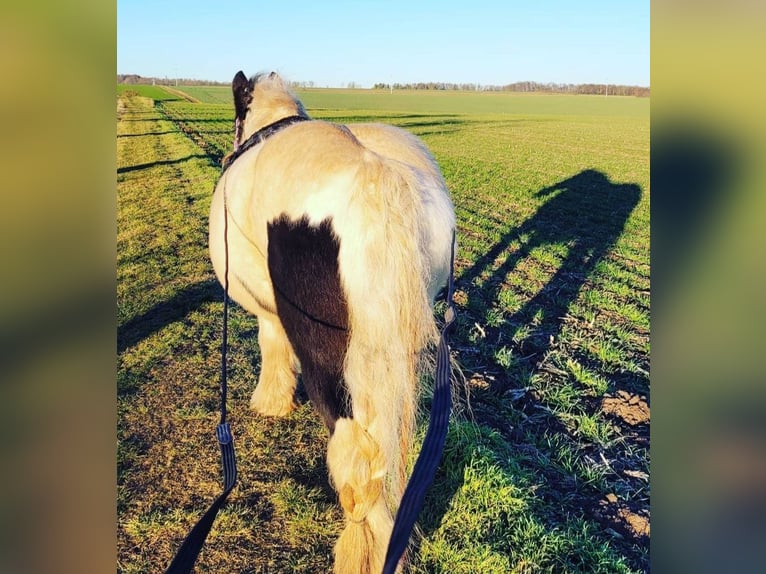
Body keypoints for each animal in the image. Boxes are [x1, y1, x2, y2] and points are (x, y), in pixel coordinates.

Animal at [208, 72, 456, 574]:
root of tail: (377, 178)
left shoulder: (271, 312)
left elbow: (271, 343)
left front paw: (271, 402)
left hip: (329, 359)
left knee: (355, 456)